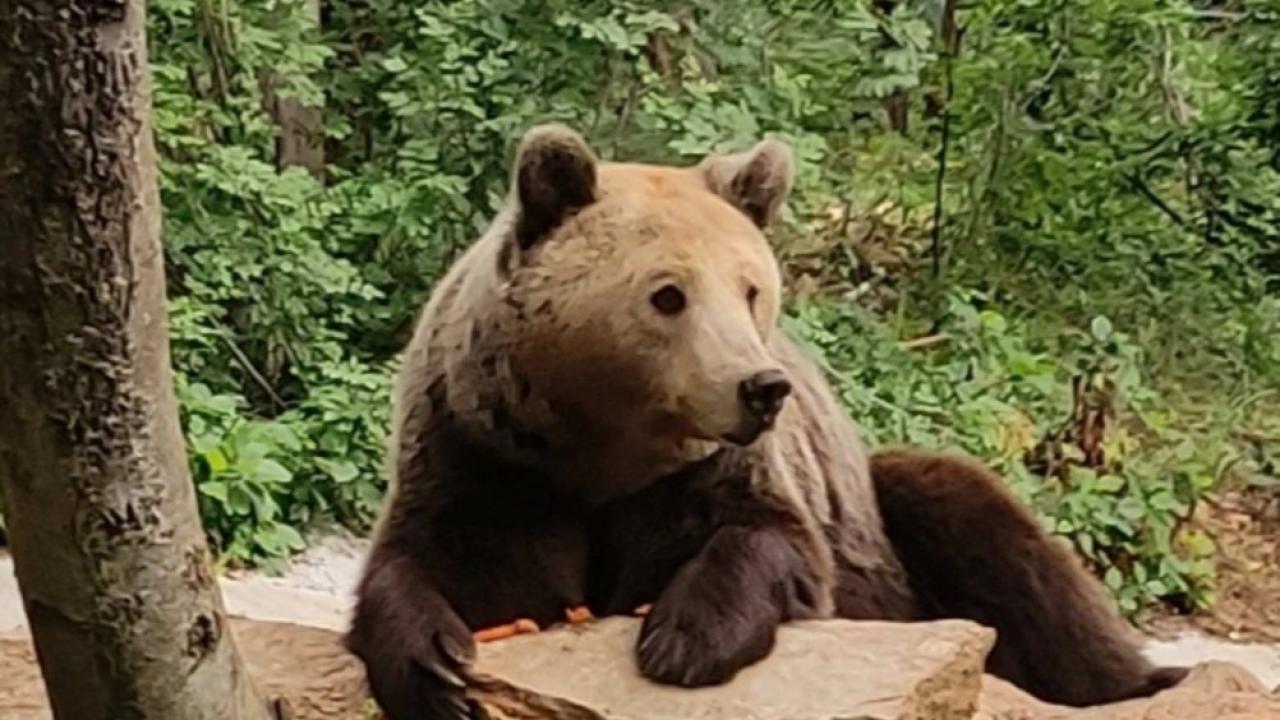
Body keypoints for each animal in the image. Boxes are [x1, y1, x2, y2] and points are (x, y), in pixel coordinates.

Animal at [345, 124, 1182, 717]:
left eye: (751, 288)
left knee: (982, 527)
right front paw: (437, 663)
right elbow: (442, 561)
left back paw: (1150, 678)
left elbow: (768, 539)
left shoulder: (716, 469)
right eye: (668, 294)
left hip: (884, 512)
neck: (600, 448)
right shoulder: (484, 452)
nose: (762, 386)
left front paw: (683, 636)